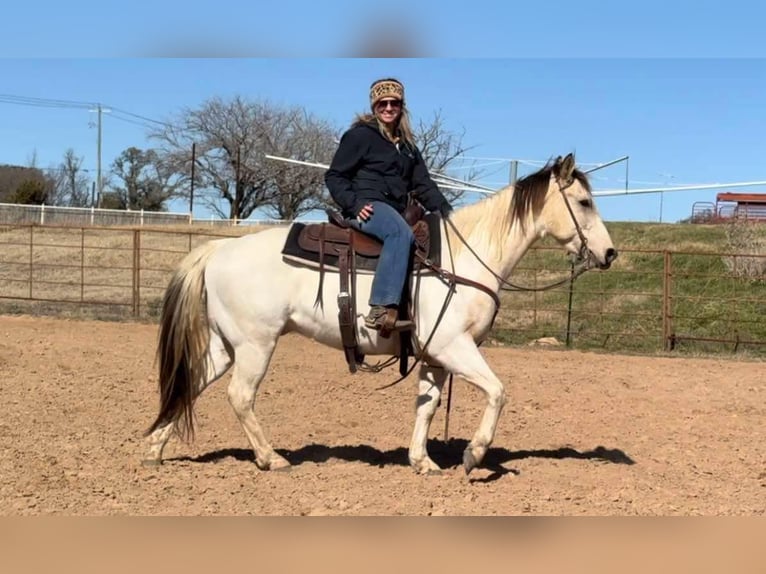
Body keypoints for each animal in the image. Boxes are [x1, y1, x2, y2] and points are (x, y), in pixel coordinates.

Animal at [144, 153, 620, 476]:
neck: (466, 257)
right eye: (583, 202)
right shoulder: (454, 347)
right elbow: (498, 392)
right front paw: (473, 454)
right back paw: (271, 458)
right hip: (255, 344)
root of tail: (218, 250)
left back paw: (155, 449)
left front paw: (422, 462)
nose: (610, 253)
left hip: (227, 345)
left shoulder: (433, 356)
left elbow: (427, 406)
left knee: (191, 384)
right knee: (240, 396)